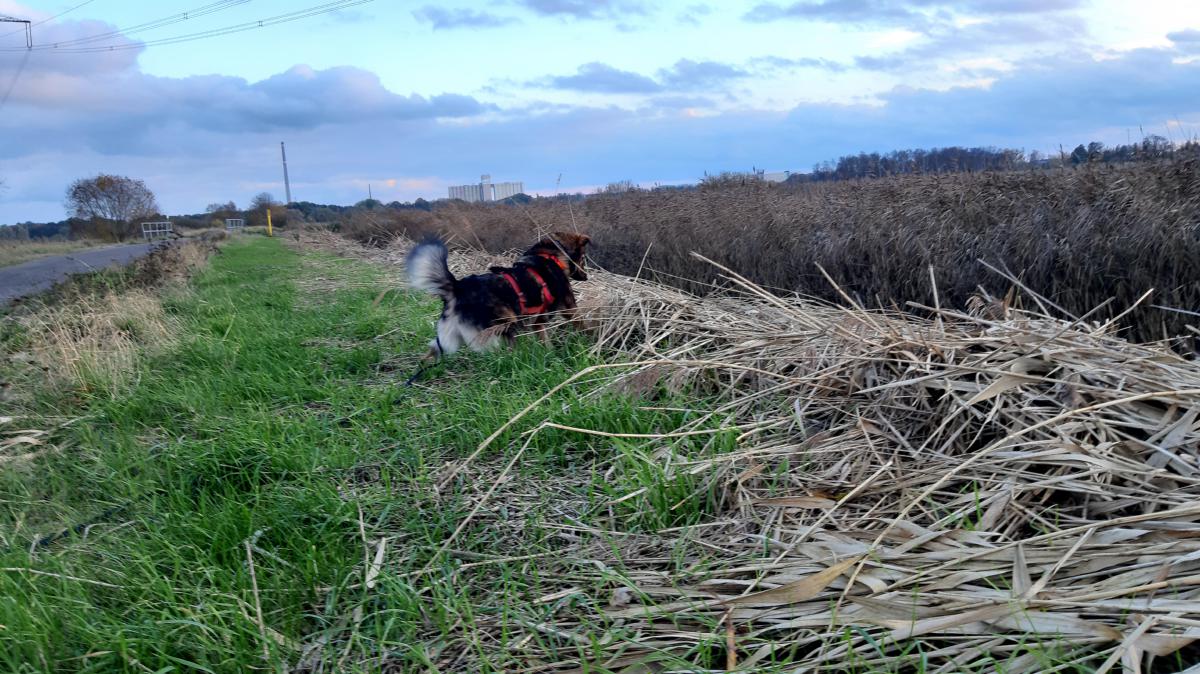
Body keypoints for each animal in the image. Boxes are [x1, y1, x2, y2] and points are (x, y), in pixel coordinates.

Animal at [406, 232, 591, 361]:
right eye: (583, 258)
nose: (586, 277)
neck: (549, 254)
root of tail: (457, 286)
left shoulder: (538, 322)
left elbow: (543, 339)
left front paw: (548, 353)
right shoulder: (569, 308)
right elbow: (580, 324)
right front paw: (588, 340)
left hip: (449, 334)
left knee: (431, 351)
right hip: (504, 320)